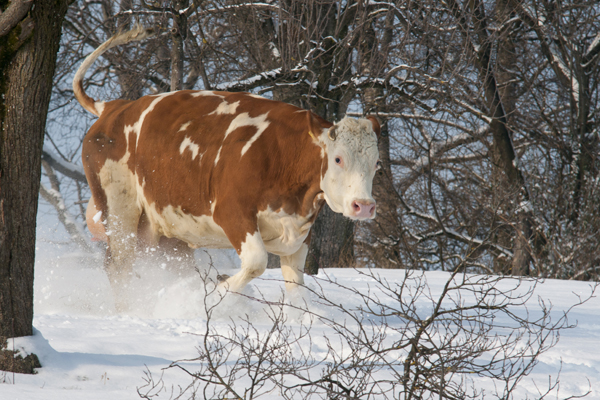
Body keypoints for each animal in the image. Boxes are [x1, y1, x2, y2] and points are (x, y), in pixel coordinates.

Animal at [72, 26, 378, 306]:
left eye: (376, 163)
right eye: (338, 158)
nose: (363, 206)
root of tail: (113, 107)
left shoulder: (299, 236)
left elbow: (296, 289)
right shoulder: (232, 212)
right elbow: (256, 262)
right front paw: (211, 294)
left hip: (164, 227)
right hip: (120, 211)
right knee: (119, 266)